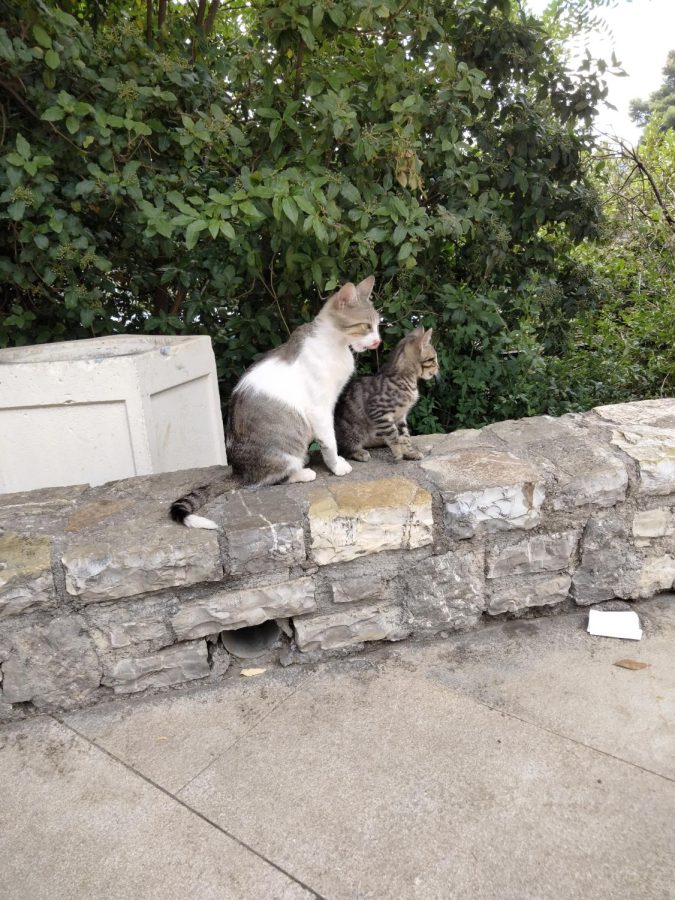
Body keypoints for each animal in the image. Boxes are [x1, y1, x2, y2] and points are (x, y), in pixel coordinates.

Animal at [169, 274, 380, 528]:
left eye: (378, 325)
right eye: (366, 326)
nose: (378, 341)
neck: (334, 345)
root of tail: (239, 470)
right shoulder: (320, 407)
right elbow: (329, 440)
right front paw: (337, 465)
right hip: (283, 452)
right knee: (268, 479)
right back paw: (303, 472)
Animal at [336, 326, 440, 464]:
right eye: (433, 359)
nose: (438, 367)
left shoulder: (400, 416)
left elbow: (405, 436)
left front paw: (409, 452)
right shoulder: (379, 412)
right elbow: (393, 434)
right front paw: (398, 453)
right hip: (353, 432)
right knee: (343, 449)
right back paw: (359, 452)